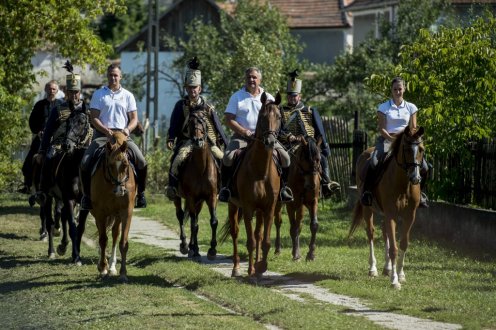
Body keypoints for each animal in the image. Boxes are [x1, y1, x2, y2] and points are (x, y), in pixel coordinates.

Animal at [38, 108, 92, 262]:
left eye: (82, 122)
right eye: (67, 122)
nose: (66, 145)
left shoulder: (84, 203)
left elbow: (80, 228)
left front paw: (76, 253)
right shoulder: (69, 199)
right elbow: (72, 227)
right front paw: (76, 257)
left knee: (61, 217)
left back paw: (62, 245)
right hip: (48, 196)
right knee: (50, 222)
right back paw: (51, 251)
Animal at [91, 130, 137, 282]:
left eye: (125, 164)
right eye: (110, 165)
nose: (119, 191)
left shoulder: (126, 212)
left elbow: (123, 242)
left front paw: (123, 273)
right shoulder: (100, 213)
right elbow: (102, 240)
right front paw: (102, 268)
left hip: (116, 215)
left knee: (115, 234)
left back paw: (112, 266)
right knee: (103, 235)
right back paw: (104, 265)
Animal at [172, 109, 219, 260]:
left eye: (203, 121)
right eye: (190, 124)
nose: (198, 141)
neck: (201, 168)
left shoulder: (211, 196)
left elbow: (213, 221)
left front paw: (212, 250)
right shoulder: (191, 197)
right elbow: (193, 225)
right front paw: (191, 248)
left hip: (200, 202)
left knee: (195, 218)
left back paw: (194, 248)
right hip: (179, 197)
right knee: (181, 216)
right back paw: (185, 245)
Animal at [229, 91, 282, 278]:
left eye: (279, 117)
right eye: (263, 117)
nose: (270, 142)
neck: (260, 171)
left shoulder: (269, 207)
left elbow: (264, 241)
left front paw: (261, 267)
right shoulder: (248, 207)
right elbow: (250, 241)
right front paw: (251, 270)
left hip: (260, 211)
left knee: (258, 234)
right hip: (232, 205)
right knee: (235, 232)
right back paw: (236, 268)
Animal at [346, 125, 424, 288]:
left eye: (421, 149)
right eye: (406, 149)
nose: (415, 178)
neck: (403, 184)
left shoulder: (409, 216)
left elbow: (403, 244)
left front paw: (401, 275)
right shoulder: (391, 213)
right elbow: (393, 248)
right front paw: (394, 281)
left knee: (385, 232)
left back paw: (387, 268)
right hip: (368, 208)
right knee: (371, 233)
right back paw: (373, 269)